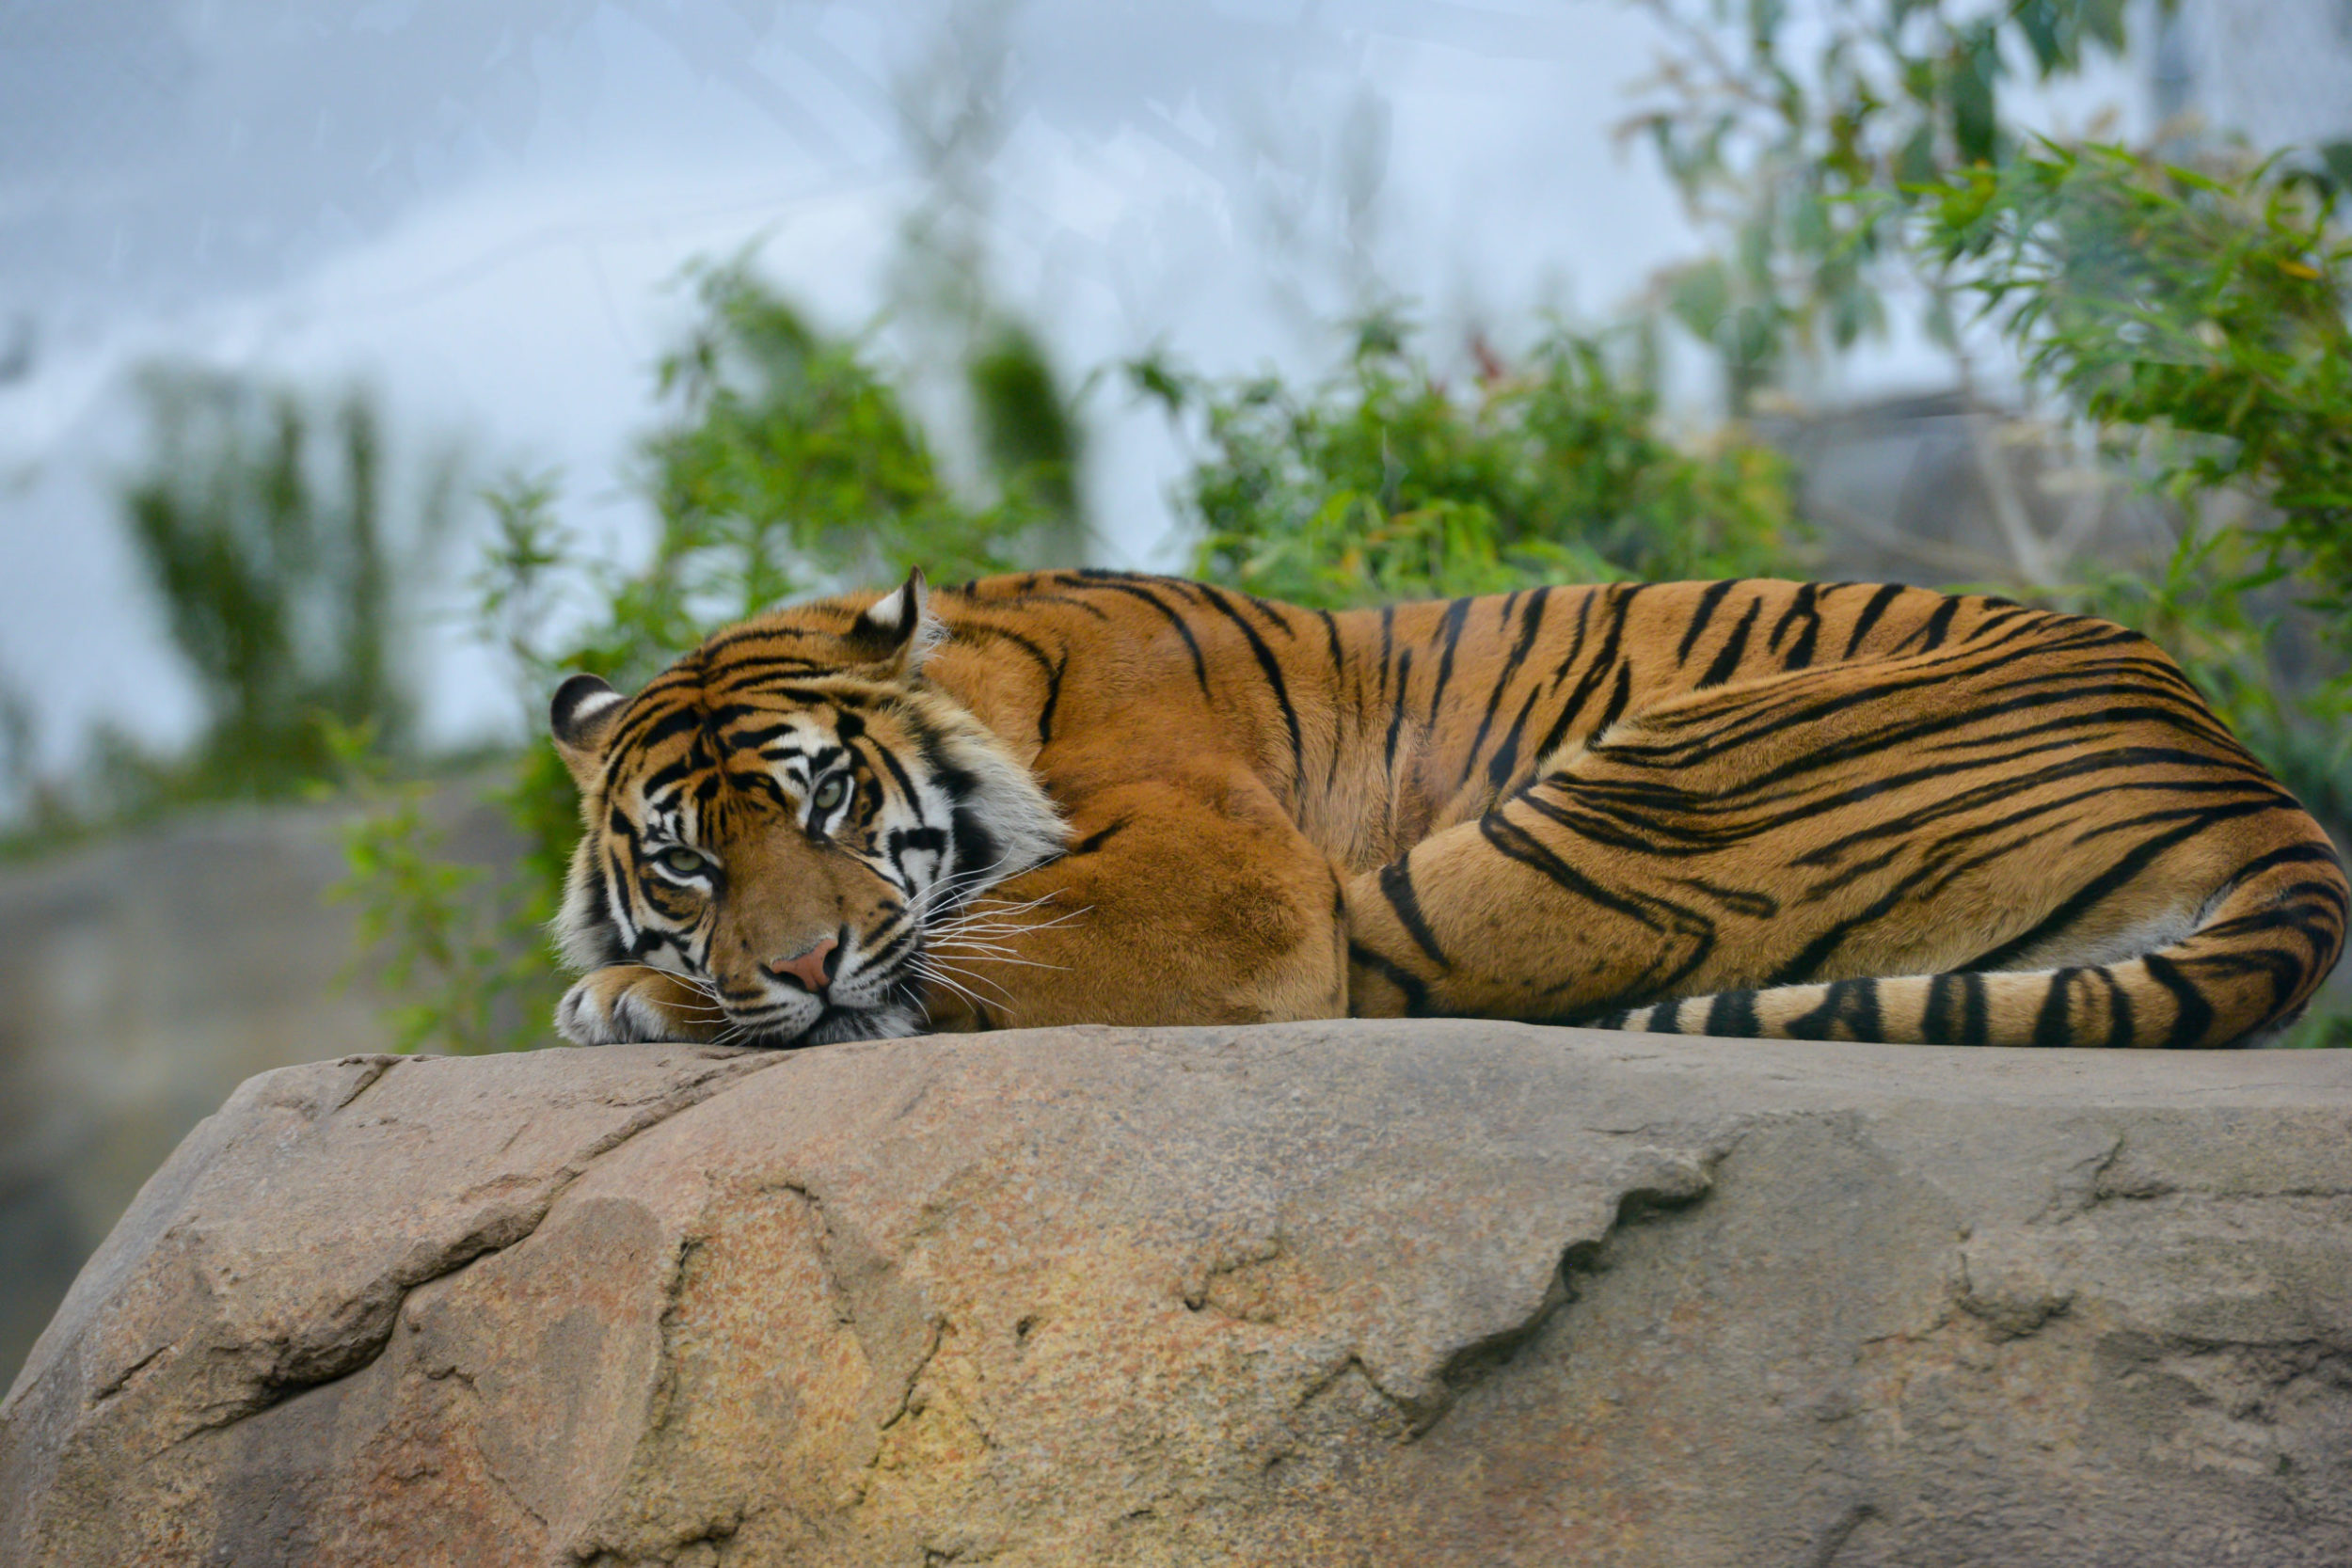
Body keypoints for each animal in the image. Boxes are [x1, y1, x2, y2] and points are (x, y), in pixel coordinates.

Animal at [547, 568, 2346, 1052]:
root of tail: (2241, 766)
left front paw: (627, 993)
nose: (793, 964)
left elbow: (944, 964)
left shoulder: (1242, 894)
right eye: (688, 860)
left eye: (833, 801)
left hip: (1580, 829)